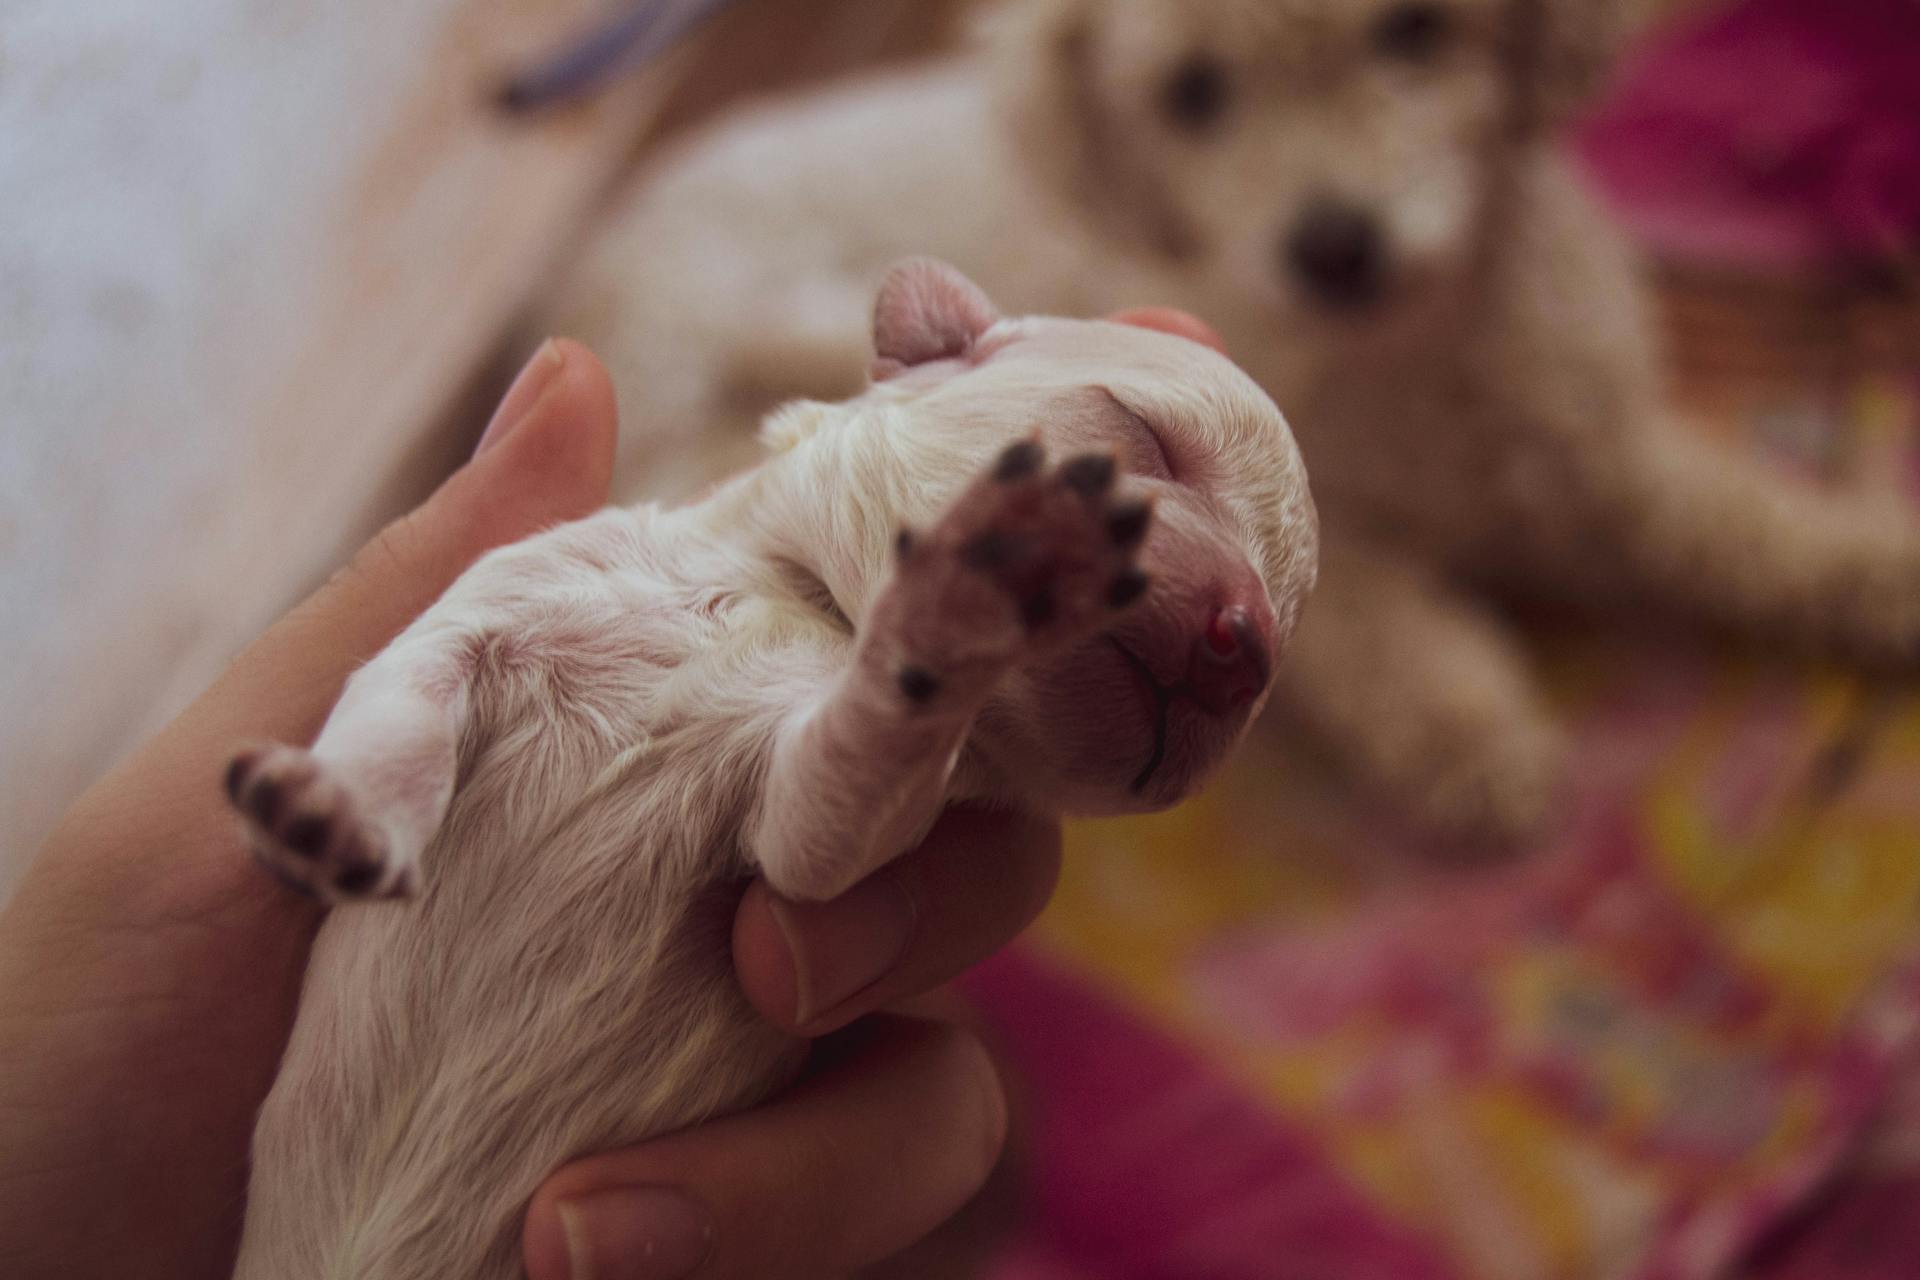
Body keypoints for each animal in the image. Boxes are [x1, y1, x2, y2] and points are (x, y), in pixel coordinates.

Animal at [217, 260, 1313, 1280]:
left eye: (1279, 655)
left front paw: (959, 602)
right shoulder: (502, 591)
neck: (792, 597)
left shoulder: (812, 811)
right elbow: (400, 698)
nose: (1246, 648)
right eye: (1141, 439)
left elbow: (820, 832)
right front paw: (330, 811)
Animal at [545, 0, 1920, 844]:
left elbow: (1755, 524)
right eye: (1194, 91)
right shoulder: (1324, 537)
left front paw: (1877, 570)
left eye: (1415, 28)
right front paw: (1472, 732)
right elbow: (1379, 629)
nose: (1335, 246)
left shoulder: (1603, 454)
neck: (1409, 358)